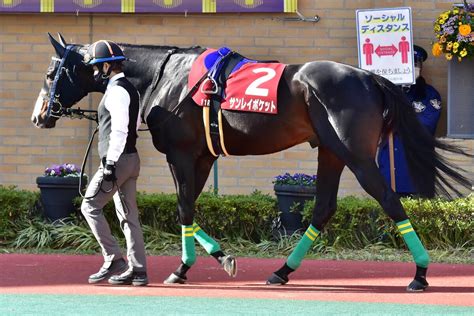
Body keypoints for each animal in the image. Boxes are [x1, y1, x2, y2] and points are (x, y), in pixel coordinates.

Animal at [31, 34, 472, 292]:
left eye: (52, 72)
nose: (40, 116)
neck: (166, 76)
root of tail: (371, 77)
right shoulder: (204, 156)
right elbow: (191, 209)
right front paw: (218, 257)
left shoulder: (182, 154)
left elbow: (183, 208)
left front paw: (185, 267)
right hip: (330, 152)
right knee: (323, 207)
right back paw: (282, 271)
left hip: (357, 155)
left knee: (390, 201)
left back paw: (420, 274)